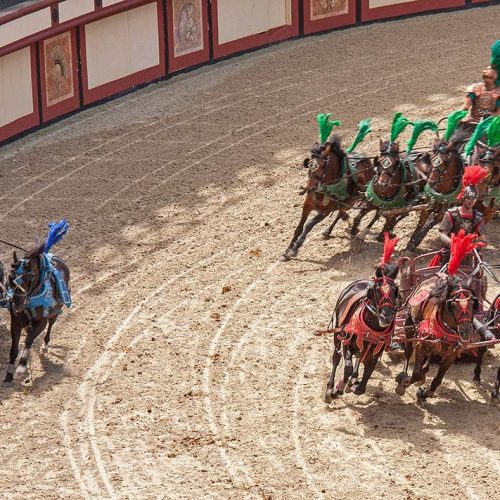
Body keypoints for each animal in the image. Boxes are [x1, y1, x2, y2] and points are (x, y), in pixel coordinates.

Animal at [324, 262, 398, 402]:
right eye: (377, 290)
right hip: (337, 332)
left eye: (395, 290)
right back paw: (330, 387)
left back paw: (352, 379)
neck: (372, 328)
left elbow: (363, 384)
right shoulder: (346, 342)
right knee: (336, 357)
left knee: (359, 357)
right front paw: (336, 390)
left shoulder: (375, 354)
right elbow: (347, 367)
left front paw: (353, 385)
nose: (386, 317)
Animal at [394, 274, 480, 402]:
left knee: (433, 352)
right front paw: (404, 382)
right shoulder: (421, 343)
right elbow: (416, 374)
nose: (466, 332)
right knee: (408, 352)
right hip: (409, 324)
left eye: (472, 303)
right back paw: (405, 374)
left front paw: (425, 393)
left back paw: (425, 369)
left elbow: (438, 379)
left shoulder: (452, 353)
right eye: (453, 305)